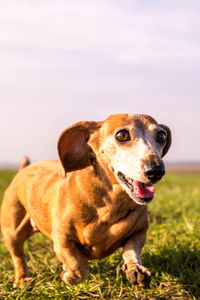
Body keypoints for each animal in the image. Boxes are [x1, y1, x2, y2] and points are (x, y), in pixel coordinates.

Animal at [0, 113, 171, 288]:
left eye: (161, 136)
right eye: (122, 135)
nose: (156, 170)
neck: (110, 204)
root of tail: (23, 169)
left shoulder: (139, 232)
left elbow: (131, 251)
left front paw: (136, 269)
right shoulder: (62, 239)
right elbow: (78, 267)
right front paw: (68, 275)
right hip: (12, 232)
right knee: (18, 256)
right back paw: (22, 279)